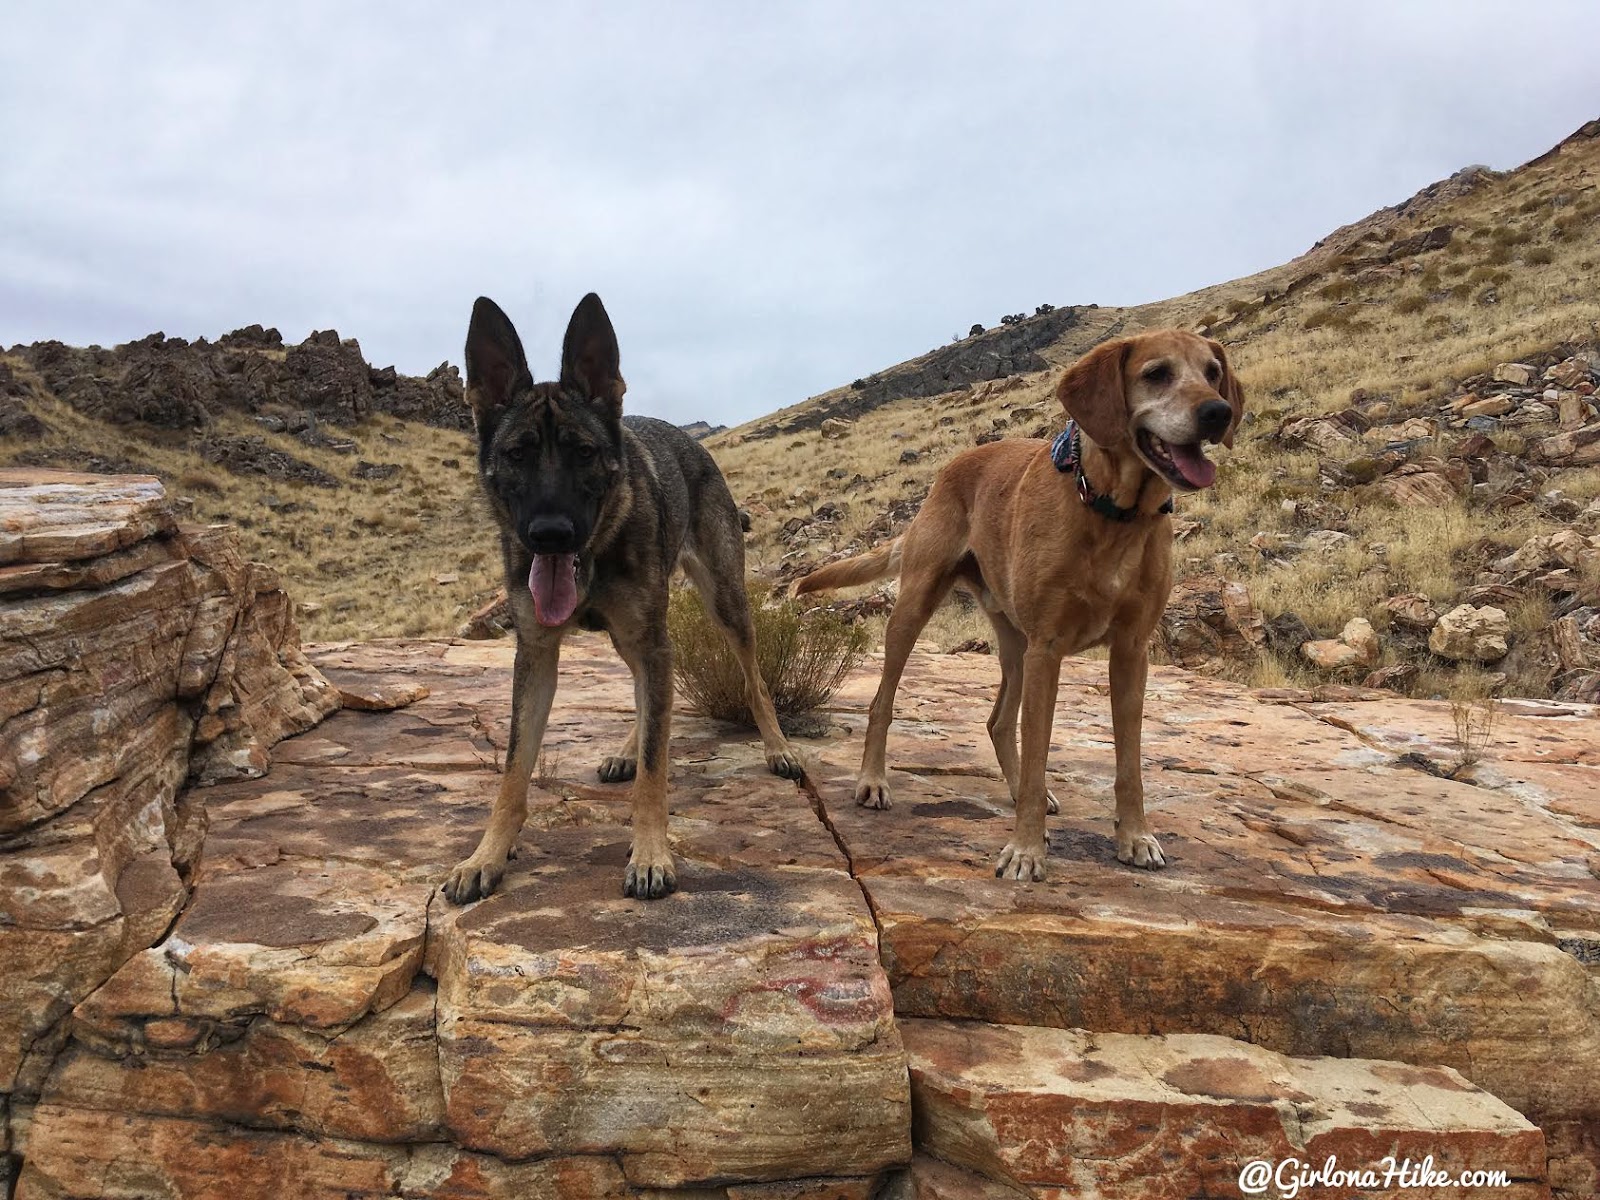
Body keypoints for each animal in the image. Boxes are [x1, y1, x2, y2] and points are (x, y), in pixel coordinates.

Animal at [444, 296, 800, 908]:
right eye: (517, 454)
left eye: (583, 453)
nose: (550, 535)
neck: (596, 551)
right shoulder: (535, 656)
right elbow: (514, 769)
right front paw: (485, 855)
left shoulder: (652, 640)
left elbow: (658, 769)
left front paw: (651, 853)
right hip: (635, 637)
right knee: (647, 693)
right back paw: (627, 748)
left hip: (724, 605)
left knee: (750, 680)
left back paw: (776, 747)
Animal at [793, 334, 1241, 876]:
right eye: (1156, 373)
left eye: (1213, 373)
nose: (1218, 413)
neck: (1112, 512)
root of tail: (949, 469)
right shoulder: (1047, 649)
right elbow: (1037, 756)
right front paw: (1026, 849)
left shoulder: (1131, 652)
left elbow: (1128, 763)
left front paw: (1135, 837)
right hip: (917, 607)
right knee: (884, 702)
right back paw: (873, 781)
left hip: (1014, 645)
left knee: (999, 721)